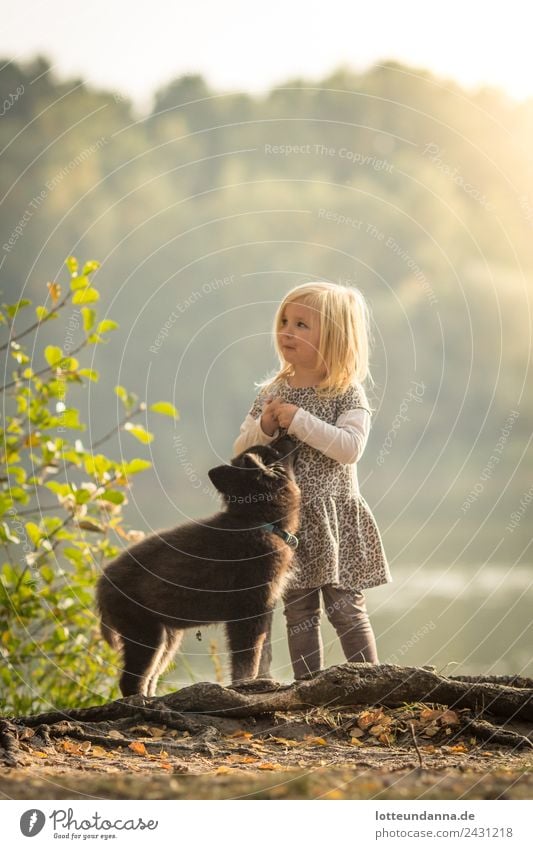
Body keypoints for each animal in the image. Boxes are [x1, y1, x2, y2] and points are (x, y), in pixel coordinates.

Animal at [95, 438, 300, 696]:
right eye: (274, 450)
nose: (289, 435)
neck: (258, 521)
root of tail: (101, 585)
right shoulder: (248, 608)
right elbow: (247, 658)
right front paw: (247, 685)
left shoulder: (263, 608)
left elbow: (261, 654)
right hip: (146, 633)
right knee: (131, 680)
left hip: (168, 636)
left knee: (150, 677)